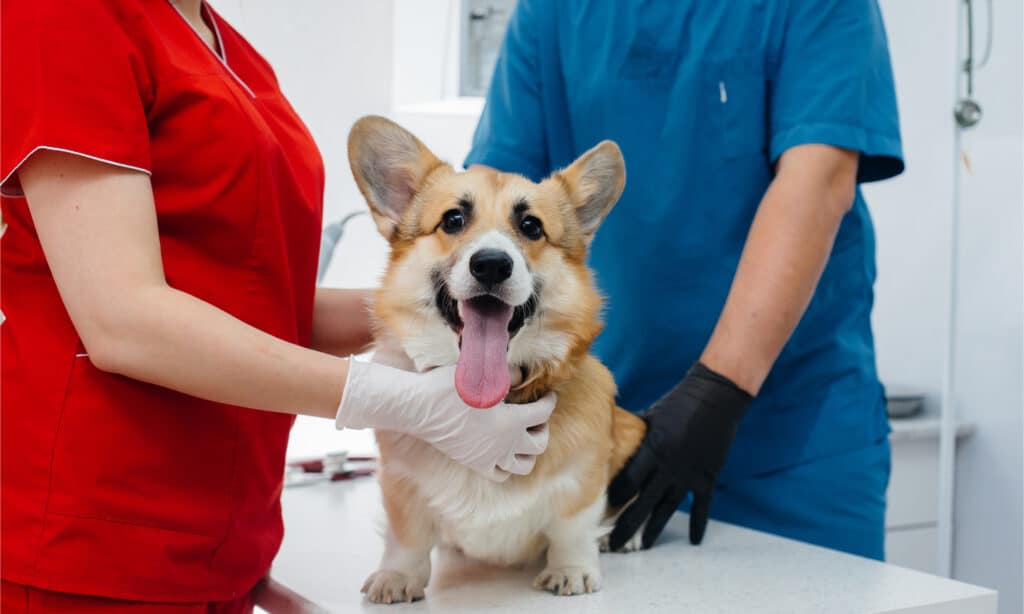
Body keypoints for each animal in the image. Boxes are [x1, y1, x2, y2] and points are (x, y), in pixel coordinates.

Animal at [348, 116, 643, 605]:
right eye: (453, 219)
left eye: (531, 225)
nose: (491, 264)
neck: (489, 403)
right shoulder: (400, 485)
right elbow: (406, 537)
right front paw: (398, 576)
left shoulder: (582, 482)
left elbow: (574, 527)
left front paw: (572, 570)